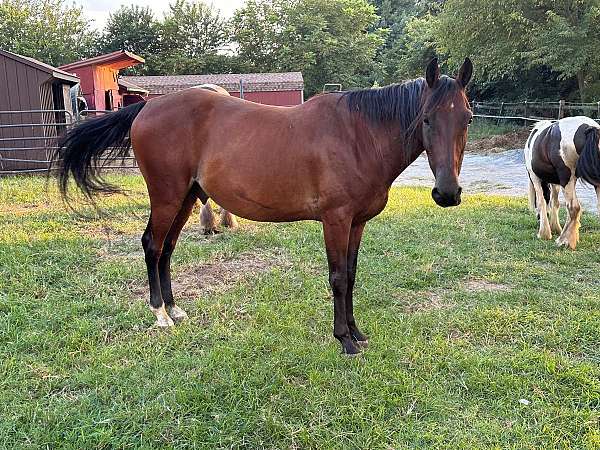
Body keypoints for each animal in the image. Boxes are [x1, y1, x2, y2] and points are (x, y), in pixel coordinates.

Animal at [51, 59, 474, 356]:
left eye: (467, 118)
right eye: (426, 118)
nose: (447, 193)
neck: (358, 136)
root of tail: (145, 110)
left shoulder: (357, 223)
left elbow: (352, 276)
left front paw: (357, 332)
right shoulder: (336, 220)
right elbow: (338, 278)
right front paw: (344, 340)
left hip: (186, 197)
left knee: (167, 249)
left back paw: (175, 310)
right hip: (167, 196)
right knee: (152, 246)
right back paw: (160, 316)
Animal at [524, 115, 600, 250]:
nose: (537, 218)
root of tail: (589, 128)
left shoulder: (535, 178)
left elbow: (542, 201)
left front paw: (544, 233)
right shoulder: (556, 182)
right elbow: (555, 202)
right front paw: (556, 228)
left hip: (567, 179)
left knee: (574, 207)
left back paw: (565, 241)